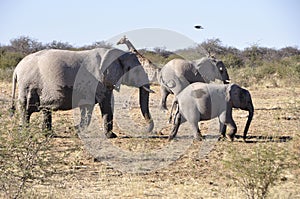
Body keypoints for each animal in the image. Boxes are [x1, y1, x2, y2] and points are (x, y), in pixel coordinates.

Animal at [10, 47, 154, 138]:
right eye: (132, 69)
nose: (145, 131)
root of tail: (16, 69)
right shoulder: (99, 80)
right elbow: (105, 105)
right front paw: (111, 136)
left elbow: (88, 106)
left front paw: (76, 130)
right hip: (28, 85)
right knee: (27, 109)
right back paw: (27, 134)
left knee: (45, 109)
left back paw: (49, 135)